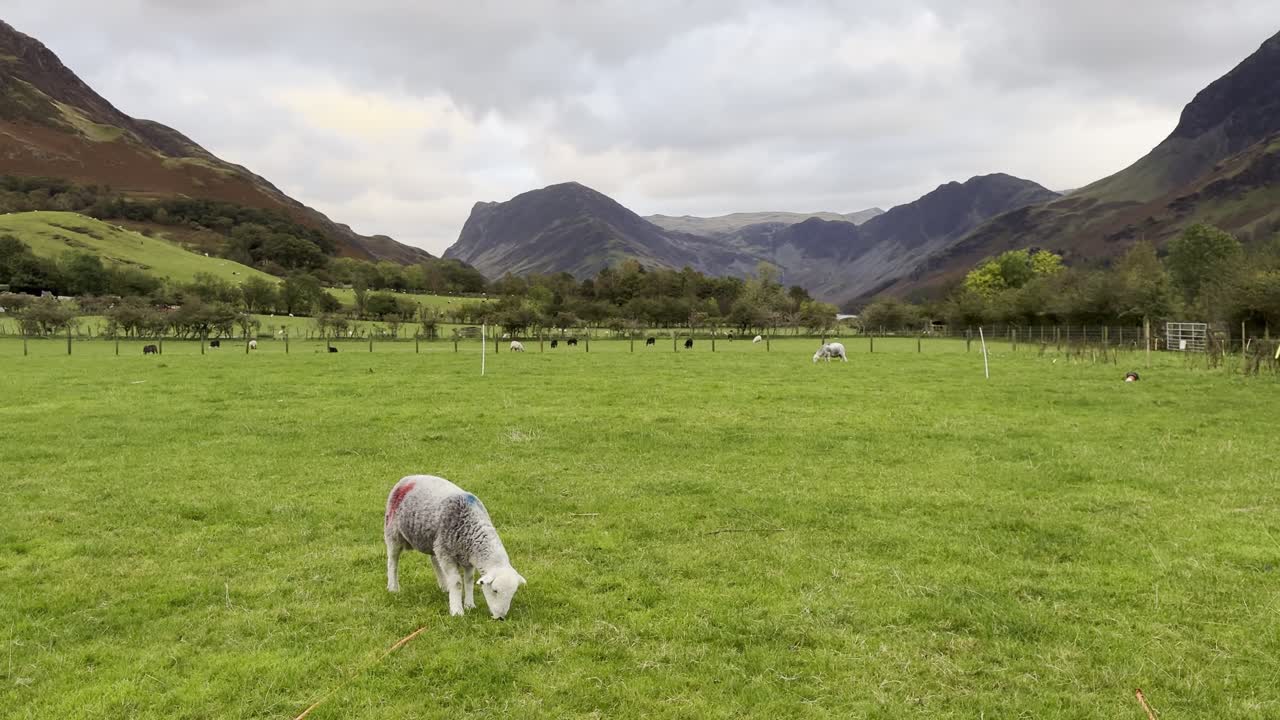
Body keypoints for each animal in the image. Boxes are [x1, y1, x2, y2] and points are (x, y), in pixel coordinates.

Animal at [384, 475, 526, 619]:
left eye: (512, 594)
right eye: (495, 590)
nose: (501, 618)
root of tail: (408, 478)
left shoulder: (467, 557)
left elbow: (469, 580)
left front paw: (469, 605)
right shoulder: (447, 554)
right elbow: (457, 582)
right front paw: (457, 611)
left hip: (434, 541)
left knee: (434, 560)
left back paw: (444, 586)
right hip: (393, 532)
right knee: (392, 561)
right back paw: (393, 587)